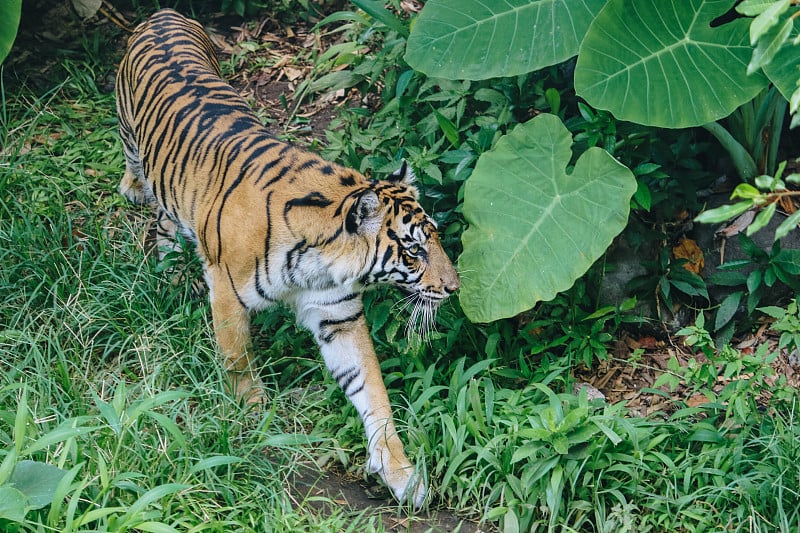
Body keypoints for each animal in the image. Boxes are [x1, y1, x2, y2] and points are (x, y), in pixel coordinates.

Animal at [115, 8, 460, 508]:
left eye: (434, 239)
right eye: (414, 250)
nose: (454, 288)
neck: (319, 262)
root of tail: (164, 14)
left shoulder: (338, 316)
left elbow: (371, 389)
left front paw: (400, 473)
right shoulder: (228, 293)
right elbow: (238, 360)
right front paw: (252, 415)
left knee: (165, 218)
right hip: (128, 132)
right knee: (139, 174)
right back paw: (138, 199)